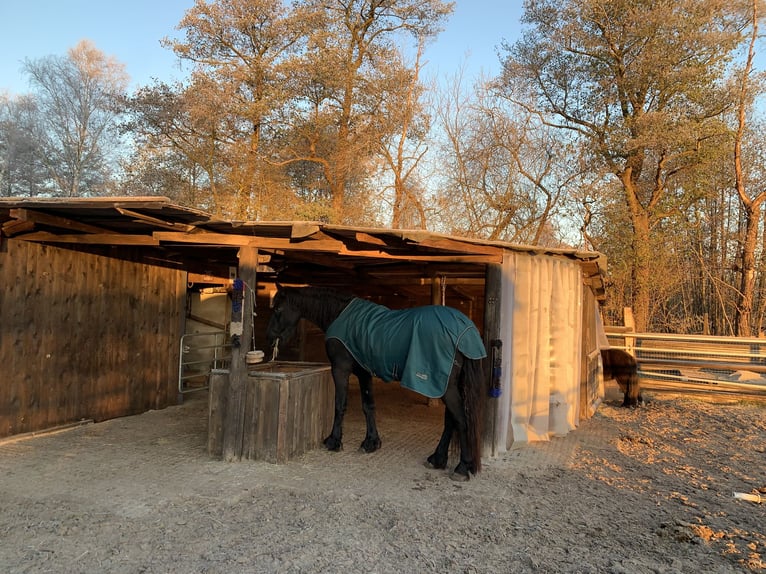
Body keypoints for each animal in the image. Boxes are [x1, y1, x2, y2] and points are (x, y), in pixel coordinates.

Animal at [265, 285, 487, 481]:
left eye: (278, 309)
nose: (270, 337)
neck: (339, 314)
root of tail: (464, 328)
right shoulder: (363, 372)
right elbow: (368, 406)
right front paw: (371, 442)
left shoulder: (340, 369)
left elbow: (340, 405)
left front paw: (334, 441)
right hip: (447, 385)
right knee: (451, 421)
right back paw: (437, 459)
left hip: (444, 385)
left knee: (461, 420)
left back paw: (461, 468)